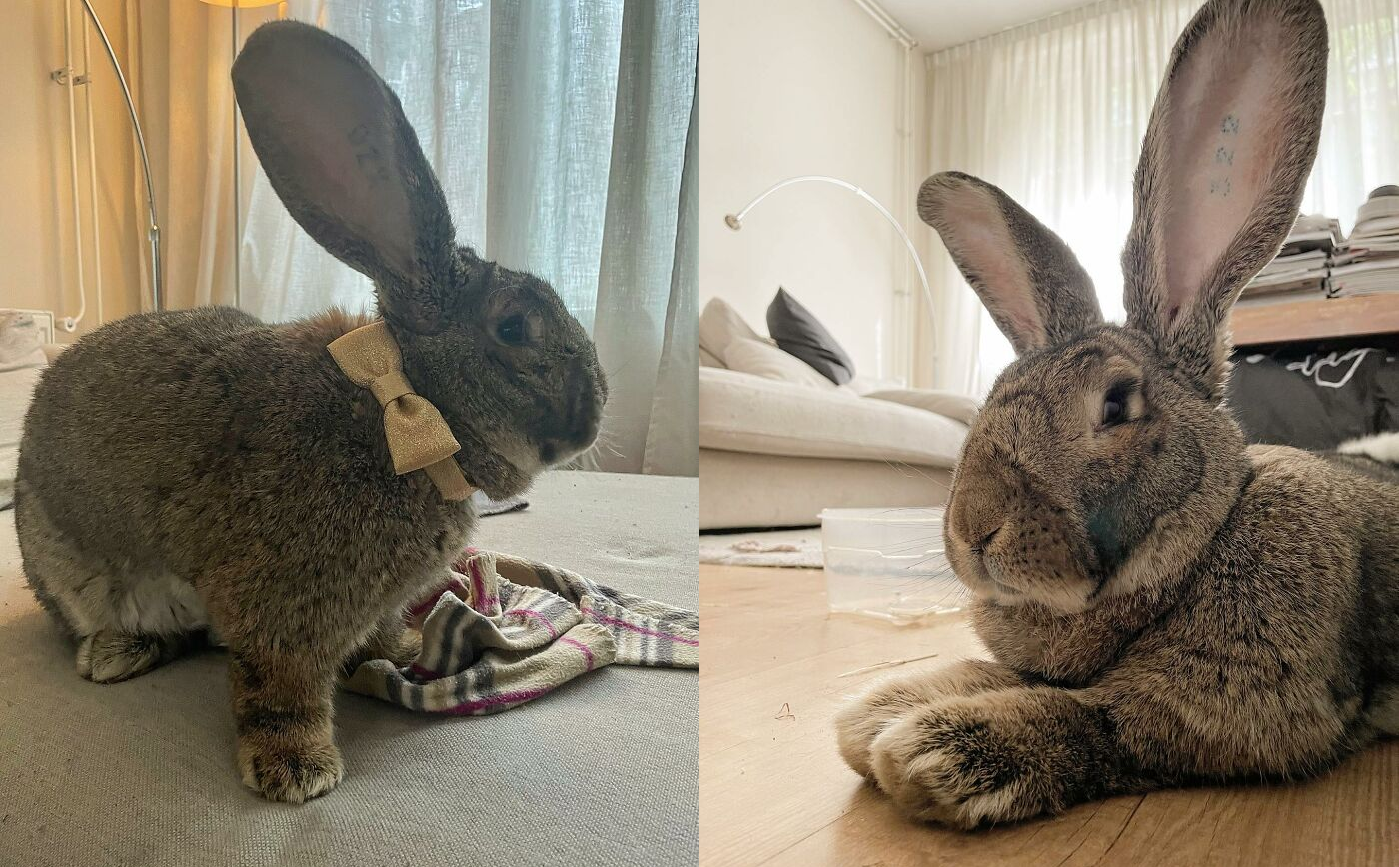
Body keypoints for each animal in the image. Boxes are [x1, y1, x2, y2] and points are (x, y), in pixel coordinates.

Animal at [15, 20, 607, 799]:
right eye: (513, 329)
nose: (595, 413)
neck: (409, 408)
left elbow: (375, 634)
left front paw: (405, 644)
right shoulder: (282, 607)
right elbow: (279, 684)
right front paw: (297, 771)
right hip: (74, 576)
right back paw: (116, 652)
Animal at [833, 0, 1393, 827]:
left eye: (1116, 403)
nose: (973, 528)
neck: (1197, 546)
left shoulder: (1216, 709)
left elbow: (1086, 715)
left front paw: (932, 749)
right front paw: (875, 711)